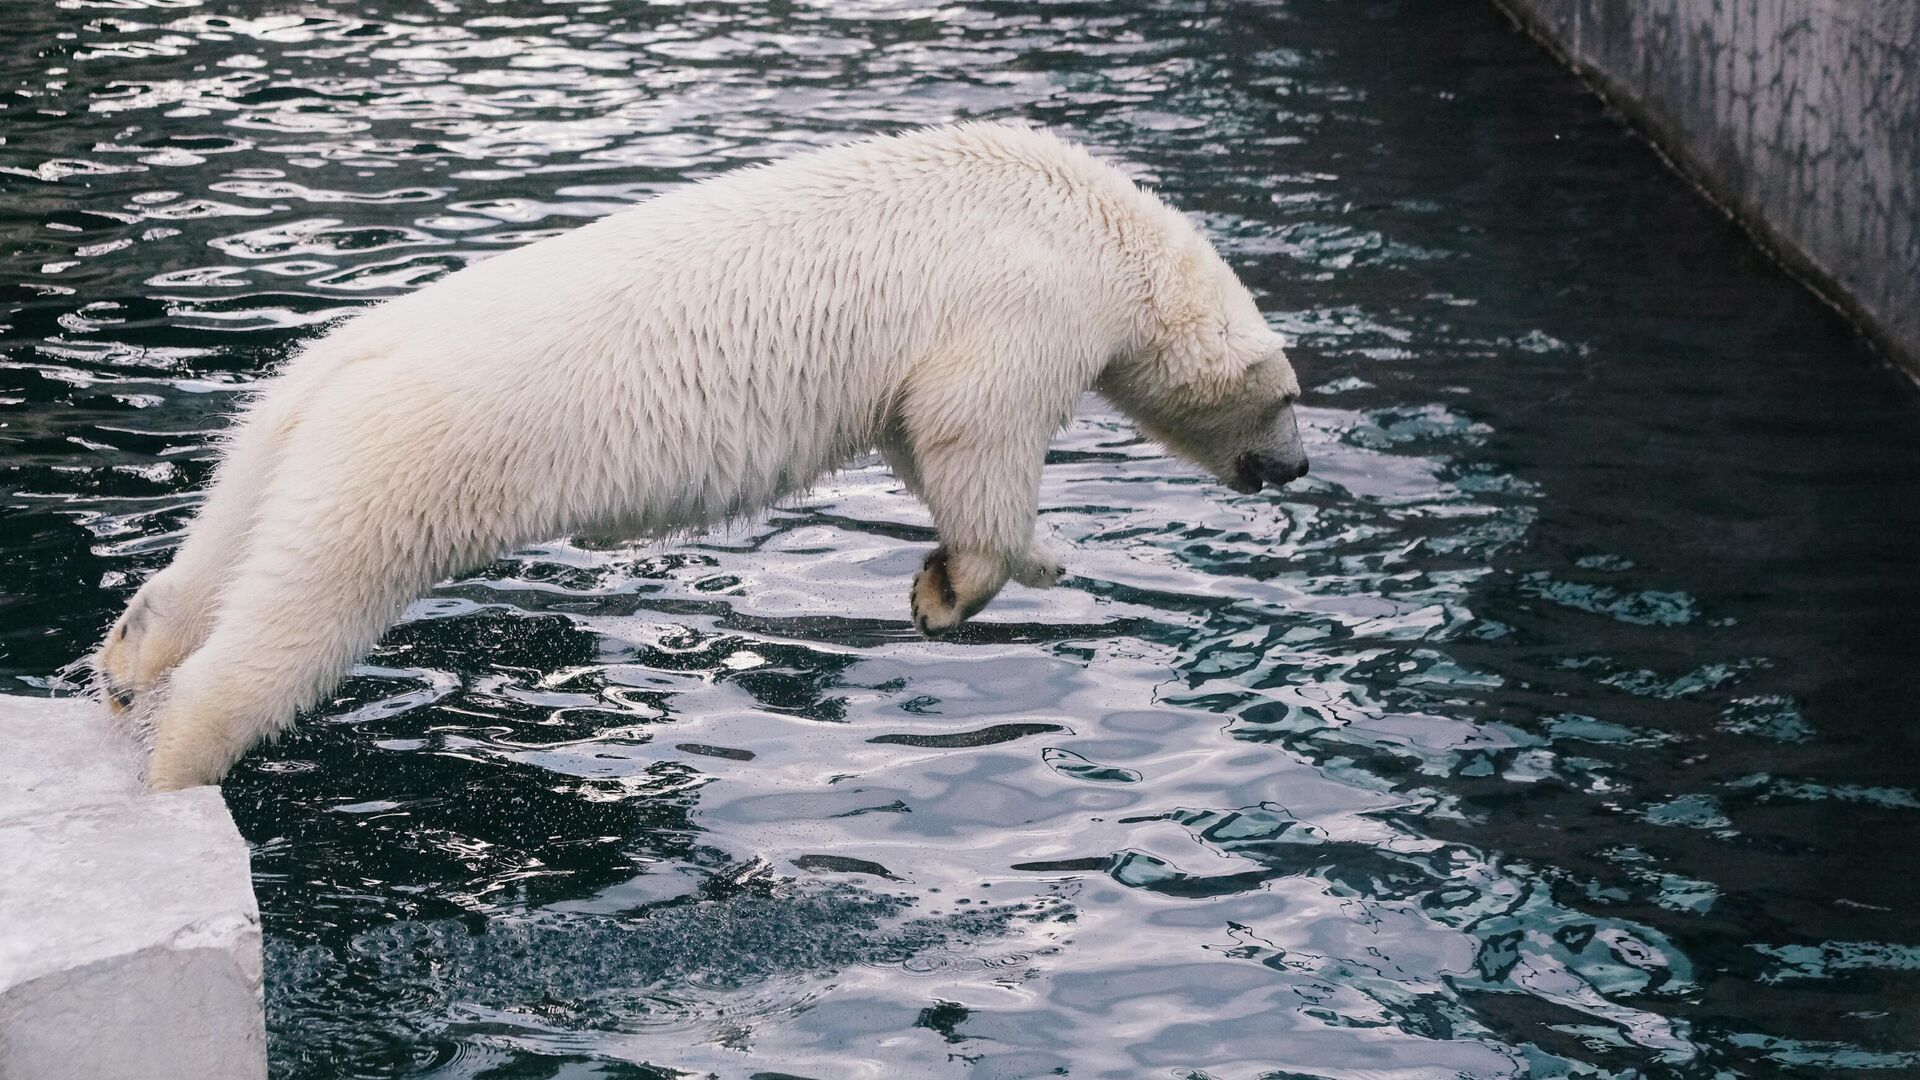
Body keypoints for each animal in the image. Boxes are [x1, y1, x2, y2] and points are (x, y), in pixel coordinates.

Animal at [97, 122, 1313, 787]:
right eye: (1290, 398)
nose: (1300, 469)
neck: (1103, 231)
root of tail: (344, 368)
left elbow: (914, 436)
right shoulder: (1023, 300)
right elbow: (972, 432)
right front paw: (972, 582)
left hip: (281, 434)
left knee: (226, 550)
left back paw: (127, 660)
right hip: (403, 467)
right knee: (300, 617)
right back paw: (177, 759)